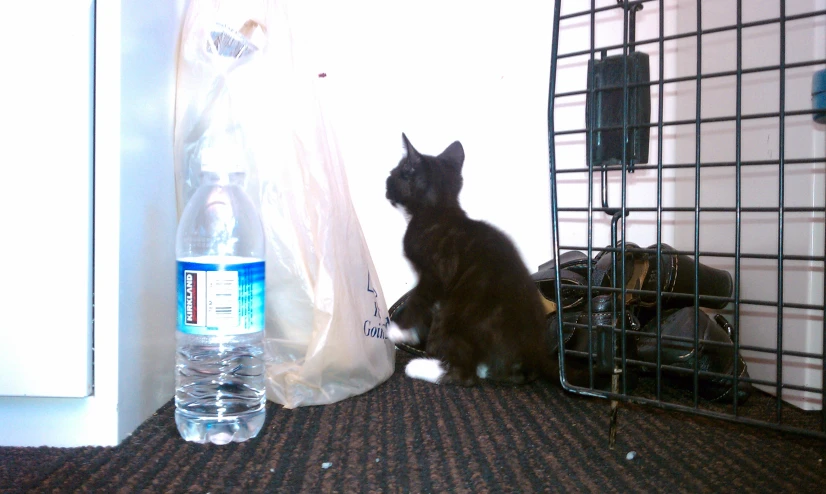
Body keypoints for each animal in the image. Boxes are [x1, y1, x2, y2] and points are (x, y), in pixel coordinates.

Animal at [384, 134, 552, 386]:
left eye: (395, 173)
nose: (386, 182)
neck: (438, 210)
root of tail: (531, 362)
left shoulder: (433, 276)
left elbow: (417, 299)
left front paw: (399, 331)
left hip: (455, 313)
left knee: (464, 374)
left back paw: (420, 367)